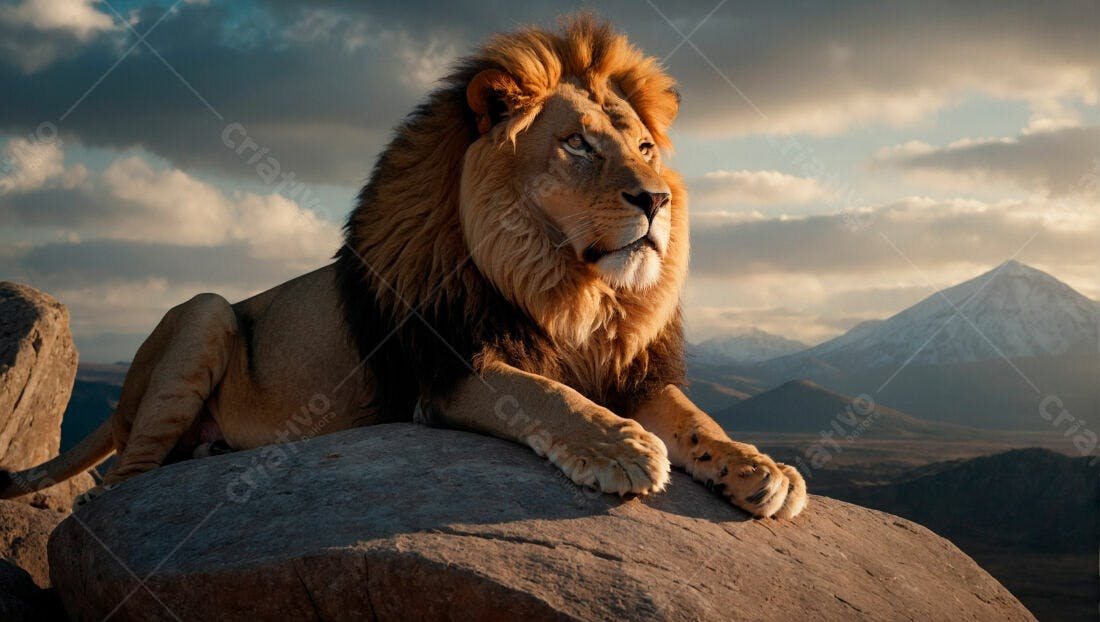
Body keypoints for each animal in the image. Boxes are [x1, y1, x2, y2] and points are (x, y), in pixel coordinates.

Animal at [1, 15, 806, 519]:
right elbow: (546, 396)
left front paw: (761, 470)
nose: (657, 200)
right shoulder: (443, 372)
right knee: (123, 485)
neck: (567, 289)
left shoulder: (631, 371)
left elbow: (694, 417)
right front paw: (621, 447)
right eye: (577, 144)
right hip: (204, 309)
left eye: (642, 148)